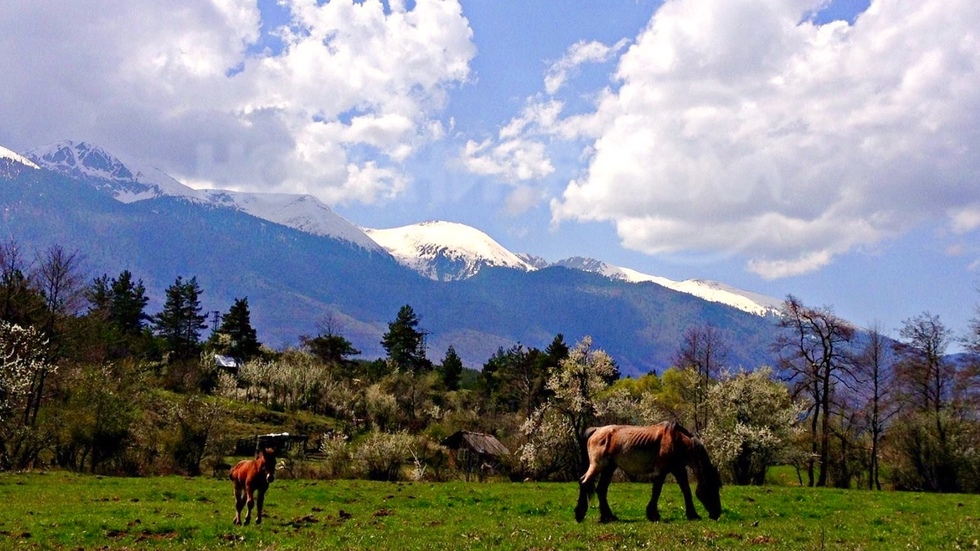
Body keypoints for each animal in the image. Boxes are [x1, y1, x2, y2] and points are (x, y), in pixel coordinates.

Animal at [576, 424, 720, 524]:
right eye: (711, 487)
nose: (717, 514)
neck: (676, 440)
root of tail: (597, 430)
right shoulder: (662, 471)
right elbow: (657, 491)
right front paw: (653, 514)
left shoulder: (679, 470)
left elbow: (686, 491)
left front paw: (693, 515)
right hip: (598, 466)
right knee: (584, 482)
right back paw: (580, 514)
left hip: (609, 468)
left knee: (601, 489)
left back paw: (608, 517)